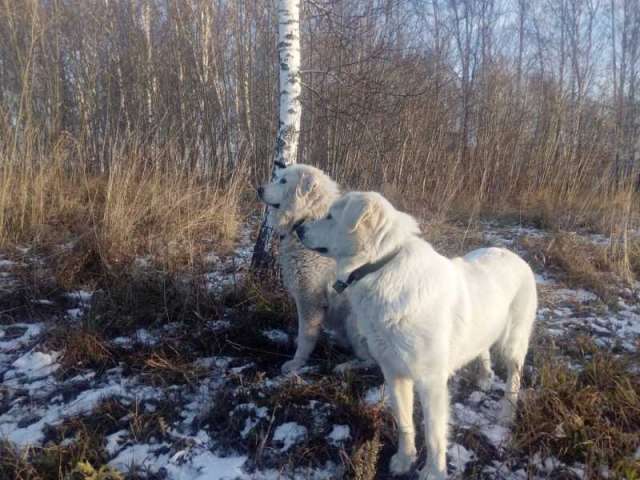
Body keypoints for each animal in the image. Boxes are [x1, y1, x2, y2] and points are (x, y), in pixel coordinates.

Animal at [258, 165, 372, 376]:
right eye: (278, 177)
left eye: (283, 181)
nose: (259, 189)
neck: (307, 218)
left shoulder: (309, 297)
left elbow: (306, 335)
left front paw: (296, 363)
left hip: (354, 321)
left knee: (373, 361)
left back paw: (346, 366)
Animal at [298, 191, 536, 480]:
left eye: (331, 216)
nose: (298, 229)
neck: (381, 267)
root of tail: (515, 255)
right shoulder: (394, 373)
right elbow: (404, 423)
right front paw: (405, 459)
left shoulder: (431, 382)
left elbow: (433, 435)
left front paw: (433, 471)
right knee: (483, 350)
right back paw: (484, 378)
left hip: (513, 343)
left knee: (514, 378)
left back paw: (506, 416)